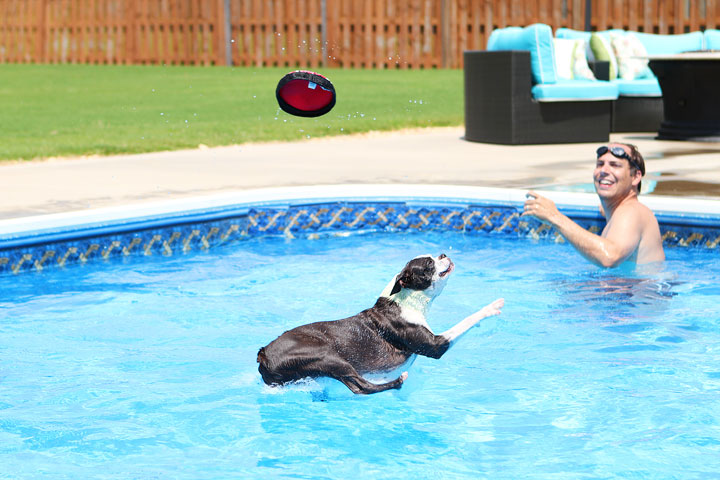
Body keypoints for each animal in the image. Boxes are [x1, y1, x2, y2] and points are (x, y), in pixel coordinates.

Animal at [256, 253, 504, 396]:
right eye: (428, 264)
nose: (443, 253)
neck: (405, 299)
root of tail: (263, 354)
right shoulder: (435, 345)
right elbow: (466, 321)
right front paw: (491, 308)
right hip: (326, 355)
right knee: (360, 387)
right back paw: (396, 382)